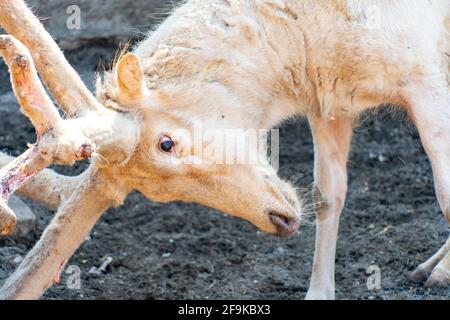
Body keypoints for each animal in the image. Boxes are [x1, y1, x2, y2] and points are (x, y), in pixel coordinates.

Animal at [0, 0, 448, 300]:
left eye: (167, 143)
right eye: (152, 193)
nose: (282, 221)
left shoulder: (424, 75)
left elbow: (444, 195)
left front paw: (443, 276)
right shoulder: (331, 102)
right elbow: (327, 194)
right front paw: (319, 292)